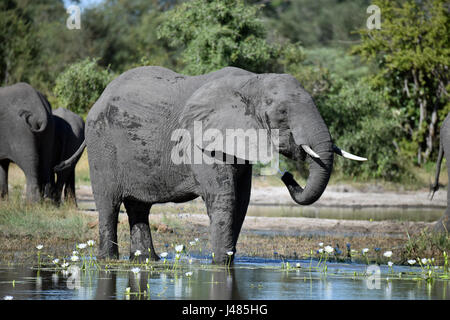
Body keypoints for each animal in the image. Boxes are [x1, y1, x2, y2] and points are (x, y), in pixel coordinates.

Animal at [56, 66, 366, 264]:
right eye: (281, 113)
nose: (287, 175)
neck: (252, 81)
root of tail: (98, 99)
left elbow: (242, 200)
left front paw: (227, 262)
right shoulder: (202, 141)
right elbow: (224, 198)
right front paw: (219, 265)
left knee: (139, 207)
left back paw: (147, 261)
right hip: (102, 143)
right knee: (109, 203)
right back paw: (108, 261)